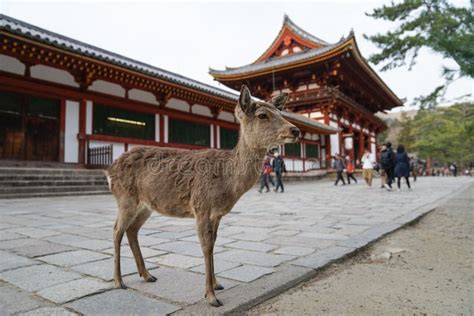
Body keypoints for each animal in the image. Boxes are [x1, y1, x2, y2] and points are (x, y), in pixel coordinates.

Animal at [107, 84, 300, 306]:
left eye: (280, 112)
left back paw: (147, 275)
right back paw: (118, 281)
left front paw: (217, 284)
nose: (296, 130)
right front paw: (211, 296)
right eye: (262, 115)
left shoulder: (217, 214)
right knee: (116, 230)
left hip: (145, 205)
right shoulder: (201, 206)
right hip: (125, 198)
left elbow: (213, 244)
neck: (227, 182)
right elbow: (206, 247)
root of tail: (109, 171)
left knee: (132, 230)